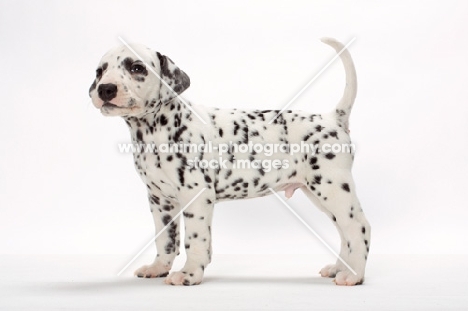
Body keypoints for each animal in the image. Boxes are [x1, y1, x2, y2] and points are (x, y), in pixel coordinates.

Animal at [89, 37, 372, 286]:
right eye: (100, 71)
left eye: (136, 67)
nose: (105, 89)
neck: (156, 129)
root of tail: (334, 118)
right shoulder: (160, 201)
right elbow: (166, 240)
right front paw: (158, 268)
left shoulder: (196, 197)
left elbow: (195, 241)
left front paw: (189, 274)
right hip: (321, 195)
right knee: (345, 233)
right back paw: (340, 268)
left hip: (333, 190)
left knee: (359, 228)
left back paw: (353, 276)